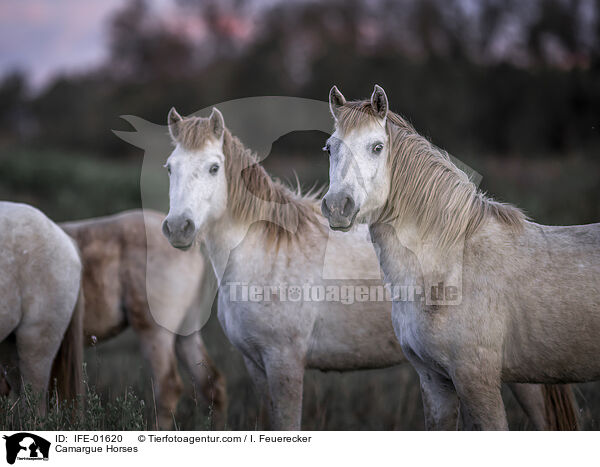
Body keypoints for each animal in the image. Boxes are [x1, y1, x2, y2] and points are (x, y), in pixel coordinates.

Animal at [159, 106, 576, 432]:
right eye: (169, 168)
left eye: (214, 168)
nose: (178, 228)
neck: (266, 253)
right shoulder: (255, 365)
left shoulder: (284, 361)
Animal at [318, 85, 596, 432]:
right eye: (329, 149)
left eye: (377, 147)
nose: (337, 206)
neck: (448, 268)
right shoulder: (434, 381)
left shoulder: (476, 380)